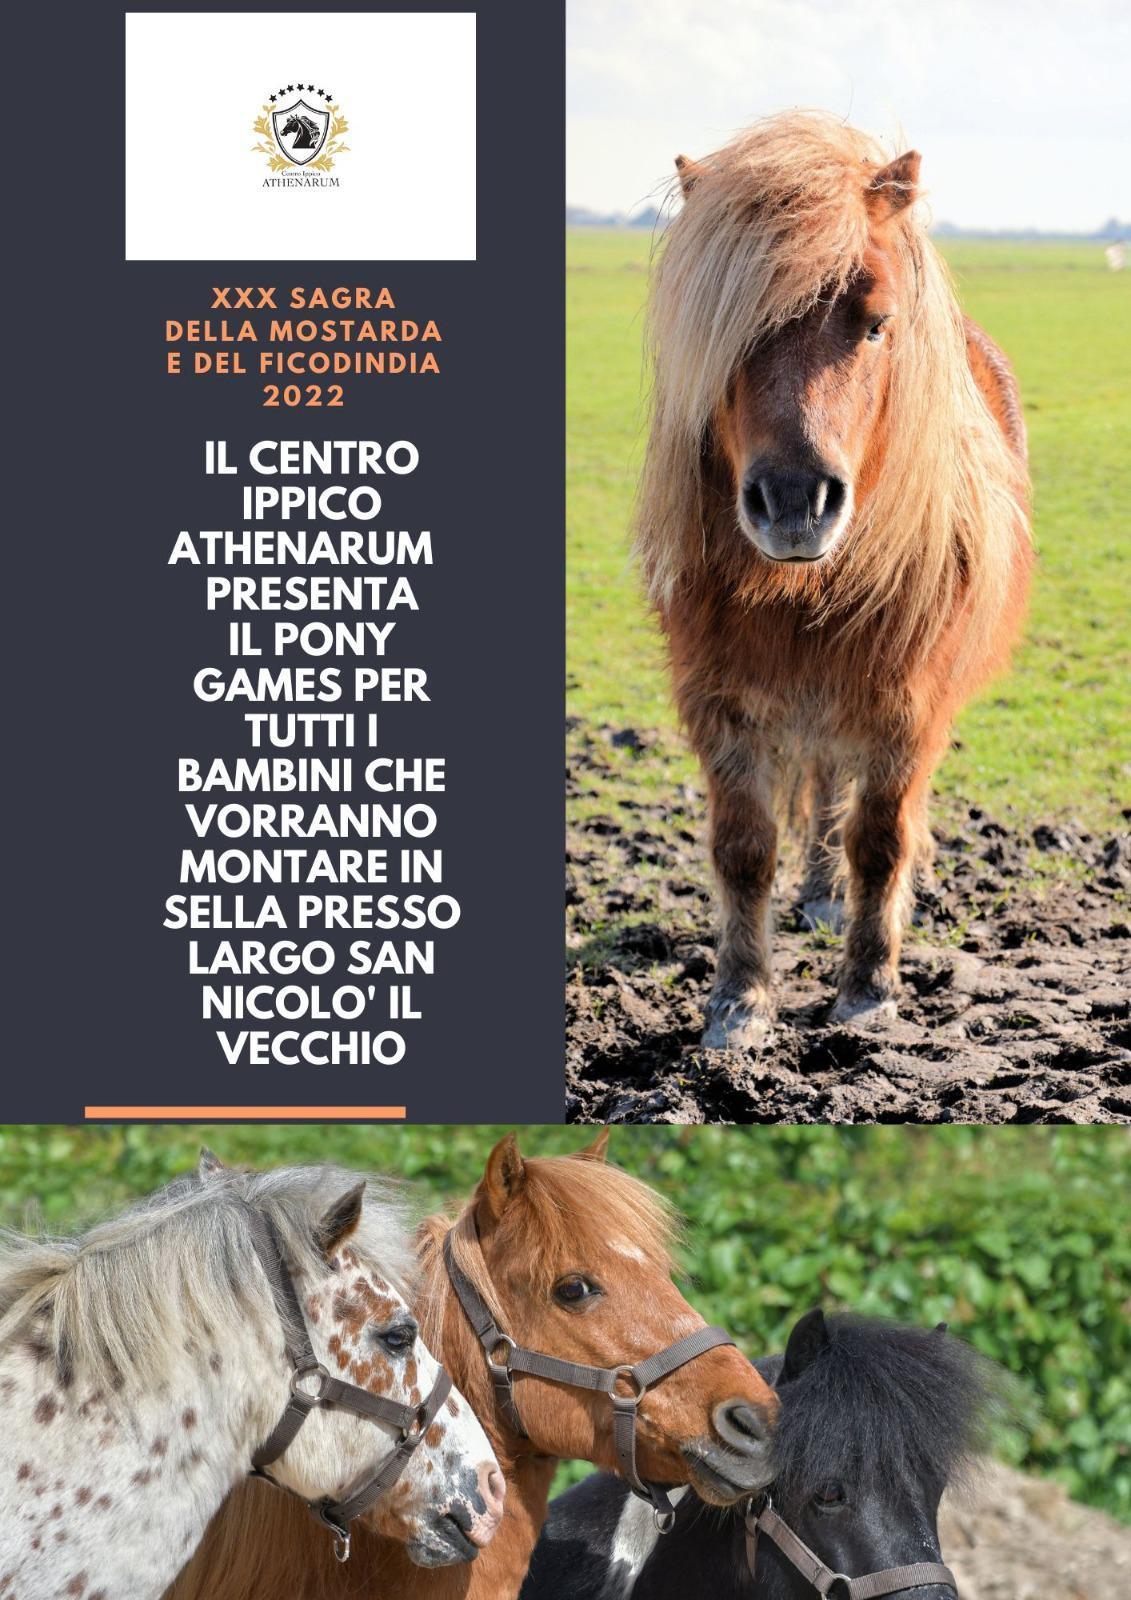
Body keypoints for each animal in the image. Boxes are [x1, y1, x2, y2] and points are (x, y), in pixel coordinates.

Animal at [635, 112, 1032, 1048]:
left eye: (876, 324)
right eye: (727, 329)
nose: (793, 501)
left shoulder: (907, 707)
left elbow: (880, 839)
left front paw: (867, 990)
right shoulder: (721, 701)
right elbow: (743, 849)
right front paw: (738, 1002)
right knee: (817, 795)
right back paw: (815, 895)